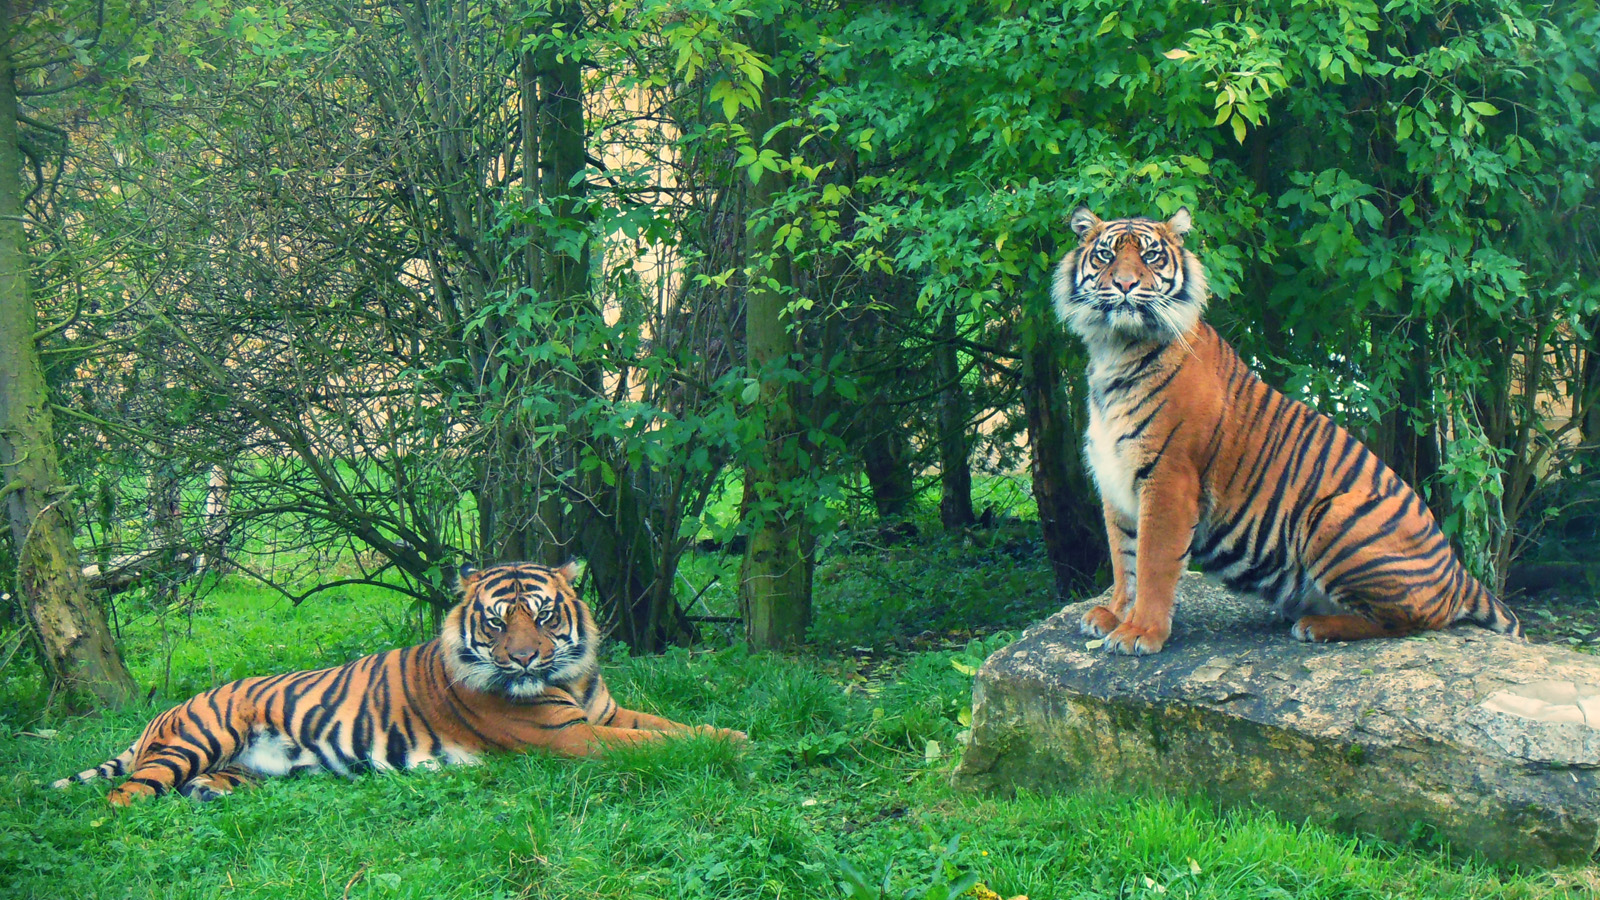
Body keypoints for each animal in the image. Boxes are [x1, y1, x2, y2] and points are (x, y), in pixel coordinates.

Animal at [51, 557, 742, 800]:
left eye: (544, 615)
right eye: (498, 622)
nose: (523, 660)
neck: (570, 678)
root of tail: (161, 714)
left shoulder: (603, 714)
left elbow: (670, 723)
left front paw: (730, 735)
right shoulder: (572, 736)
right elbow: (653, 743)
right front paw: (724, 748)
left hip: (246, 765)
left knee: (200, 784)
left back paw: (210, 797)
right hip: (198, 739)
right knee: (125, 795)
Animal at [1056, 204, 1516, 650]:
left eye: (1150, 256)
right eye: (1106, 255)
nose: (1125, 285)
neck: (1115, 350)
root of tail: (1459, 572)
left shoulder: (1169, 479)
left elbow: (1153, 563)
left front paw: (1140, 632)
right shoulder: (1115, 479)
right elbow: (1125, 560)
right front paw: (1114, 615)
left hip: (1332, 516)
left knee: (1410, 621)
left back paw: (1314, 626)